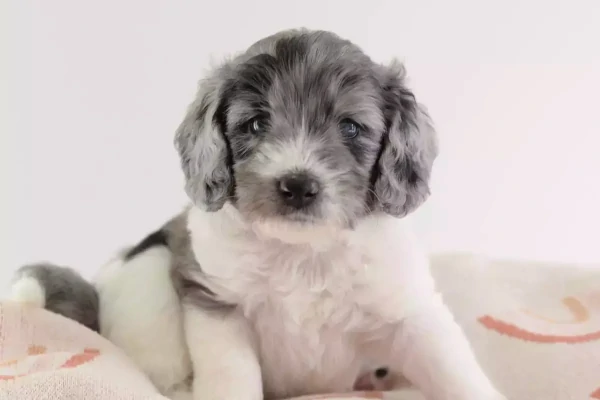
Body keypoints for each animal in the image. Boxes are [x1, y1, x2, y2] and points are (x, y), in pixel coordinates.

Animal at [9, 28, 506, 400]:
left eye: (350, 127)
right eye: (255, 124)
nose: (298, 185)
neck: (303, 252)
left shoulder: (408, 309)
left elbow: (452, 368)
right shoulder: (217, 304)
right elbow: (232, 375)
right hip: (147, 277)